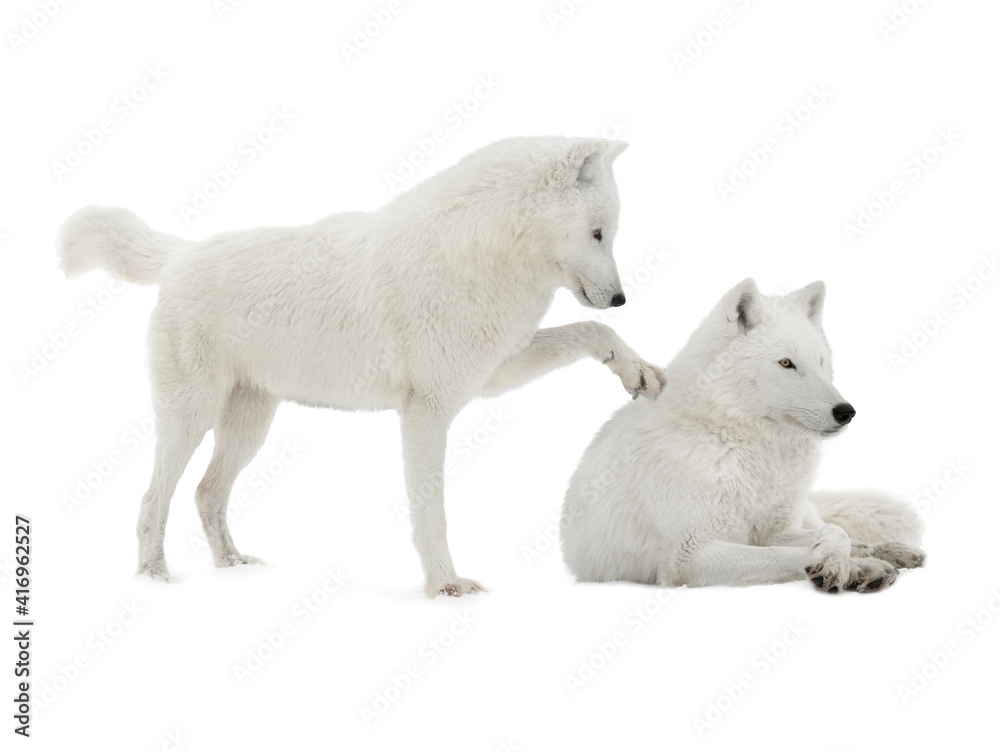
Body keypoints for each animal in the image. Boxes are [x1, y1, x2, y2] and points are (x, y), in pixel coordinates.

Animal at [58, 137, 667, 597]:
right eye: (598, 233)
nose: (621, 299)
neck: (478, 253)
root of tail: (180, 254)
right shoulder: (427, 411)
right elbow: (431, 512)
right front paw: (445, 587)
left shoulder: (492, 373)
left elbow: (590, 333)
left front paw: (638, 371)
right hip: (192, 420)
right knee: (151, 499)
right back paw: (155, 579)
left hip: (249, 427)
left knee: (207, 493)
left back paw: (232, 566)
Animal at [560, 279, 925, 593]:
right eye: (786, 363)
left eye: (821, 362)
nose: (846, 412)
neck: (749, 448)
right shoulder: (690, 555)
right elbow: (788, 555)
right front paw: (854, 568)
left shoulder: (780, 530)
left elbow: (836, 534)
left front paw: (851, 561)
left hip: (802, 511)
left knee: (839, 527)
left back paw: (896, 551)